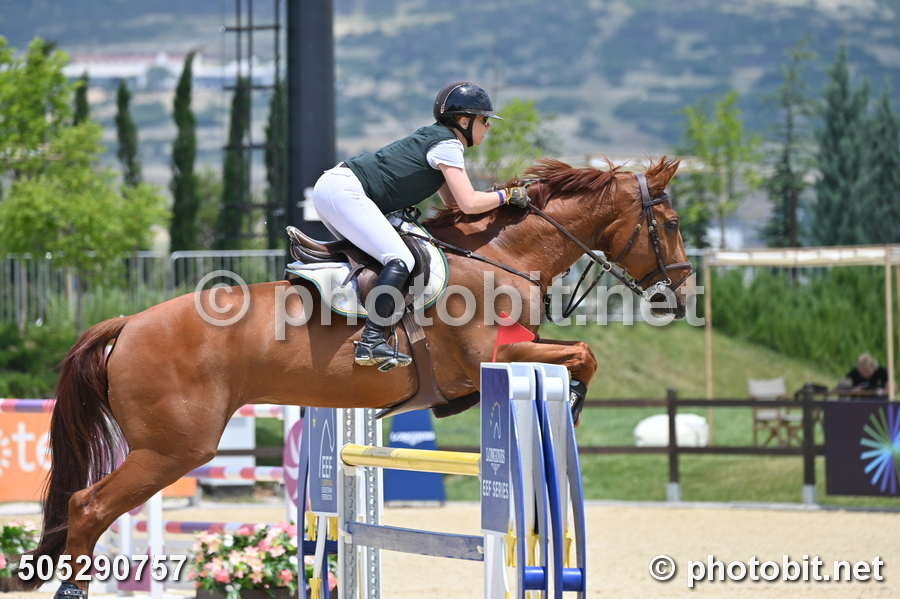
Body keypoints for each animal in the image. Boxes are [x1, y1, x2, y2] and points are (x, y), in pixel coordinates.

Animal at [28, 157, 692, 596]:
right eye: (671, 223)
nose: (679, 296)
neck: (503, 257)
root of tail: (127, 325)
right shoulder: (492, 363)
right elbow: (582, 353)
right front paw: (573, 401)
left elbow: (581, 353)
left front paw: (573, 402)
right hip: (174, 448)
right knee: (88, 506)